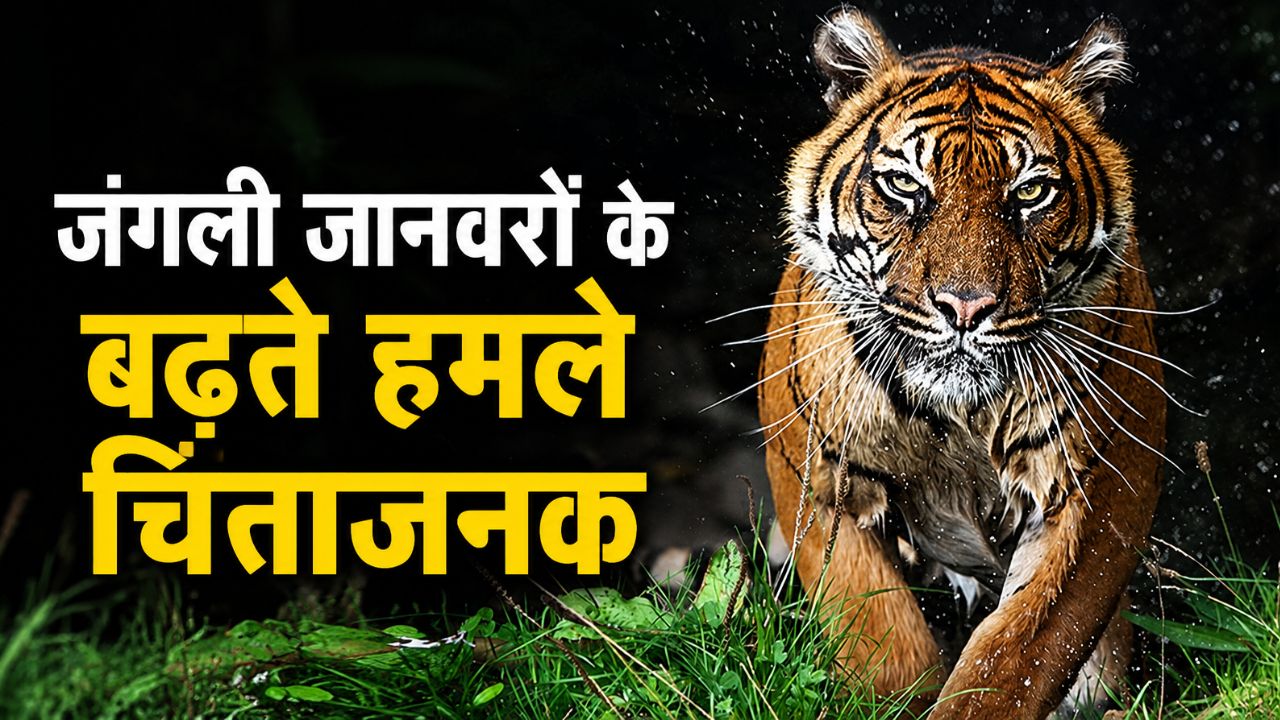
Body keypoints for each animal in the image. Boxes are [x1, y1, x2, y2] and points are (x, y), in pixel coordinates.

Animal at [757, 8, 1168, 719]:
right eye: (904, 185)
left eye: (1031, 193)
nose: (966, 306)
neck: (955, 422)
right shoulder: (813, 479)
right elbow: (879, 639)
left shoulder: (1100, 484)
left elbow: (1021, 650)